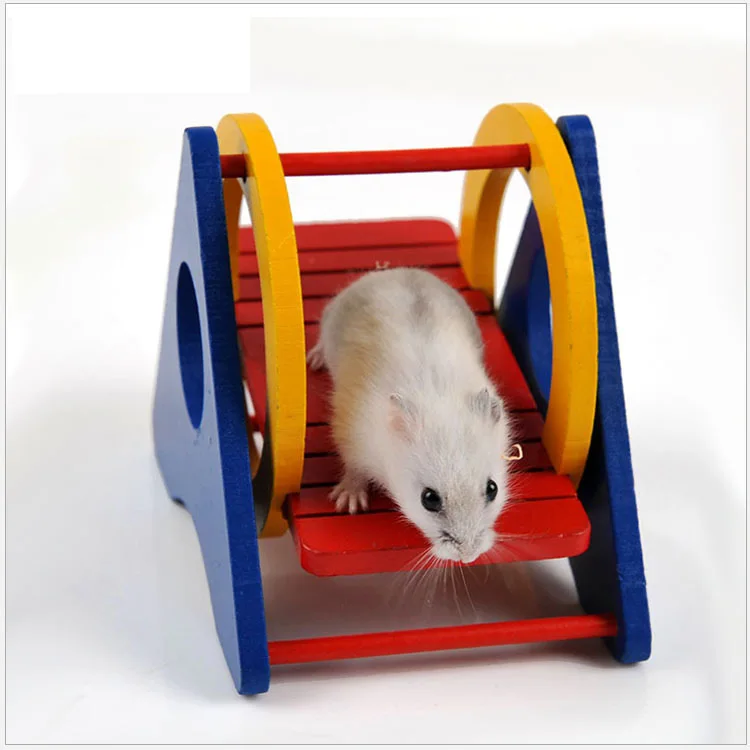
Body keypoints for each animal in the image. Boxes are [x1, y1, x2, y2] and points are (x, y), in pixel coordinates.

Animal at [307, 267, 514, 564]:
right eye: (429, 499)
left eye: (492, 489)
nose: (468, 556)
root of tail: (391, 271)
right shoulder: (352, 439)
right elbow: (354, 470)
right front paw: (348, 504)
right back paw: (314, 360)